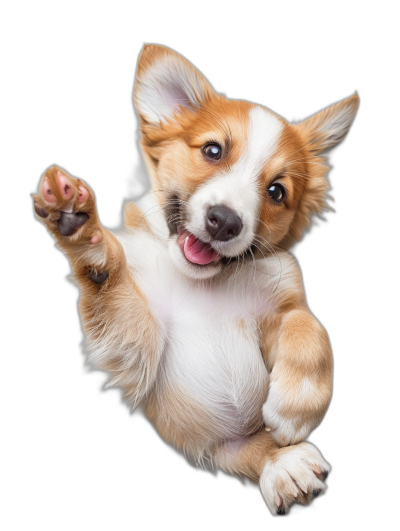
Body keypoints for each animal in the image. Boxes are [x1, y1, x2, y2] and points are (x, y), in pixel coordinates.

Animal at [32, 43, 360, 516]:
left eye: (277, 191)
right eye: (212, 151)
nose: (224, 221)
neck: (204, 282)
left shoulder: (284, 301)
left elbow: (312, 334)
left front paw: (294, 409)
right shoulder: (140, 344)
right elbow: (110, 281)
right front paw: (80, 228)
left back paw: (286, 462)